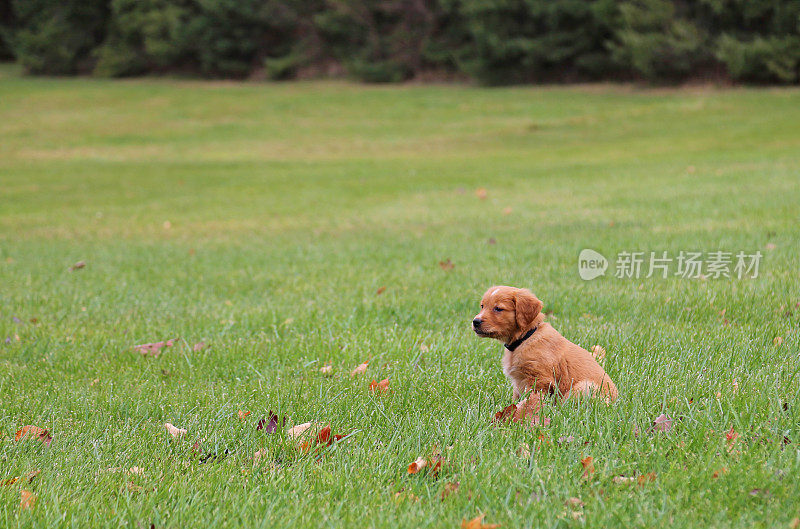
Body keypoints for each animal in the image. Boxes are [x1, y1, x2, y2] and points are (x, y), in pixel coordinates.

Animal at [476, 284, 620, 416]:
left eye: (498, 309)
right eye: (482, 306)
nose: (475, 321)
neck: (526, 338)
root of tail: (616, 403)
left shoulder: (539, 379)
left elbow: (530, 400)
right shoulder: (518, 383)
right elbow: (516, 398)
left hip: (585, 386)